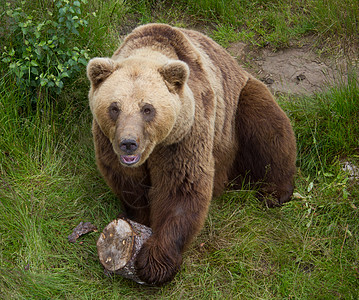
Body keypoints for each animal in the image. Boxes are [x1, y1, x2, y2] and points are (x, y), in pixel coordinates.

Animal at [86, 23, 296, 286]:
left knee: (269, 128)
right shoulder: (108, 143)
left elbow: (182, 188)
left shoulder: (185, 135)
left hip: (236, 107)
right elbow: (129, 185)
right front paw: (137, 220)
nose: (128, 143)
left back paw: (274, 192)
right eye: (114, 108)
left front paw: (154, 262)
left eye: (147, 109)